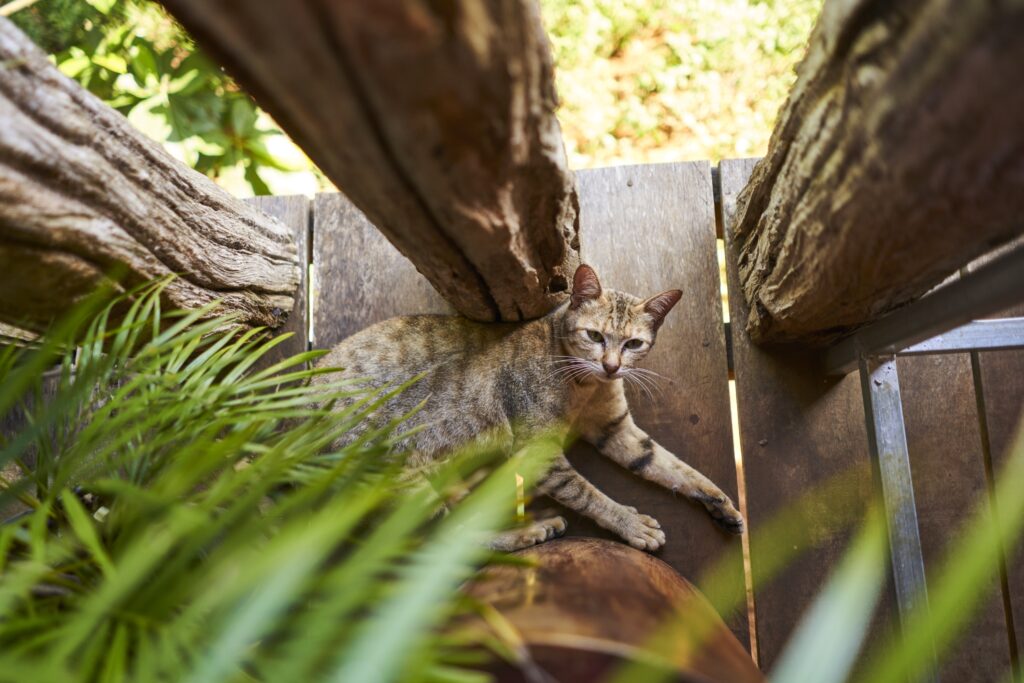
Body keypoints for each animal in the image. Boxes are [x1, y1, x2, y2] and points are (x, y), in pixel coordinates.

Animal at [311, 264, 745, 552]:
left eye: (633, 344)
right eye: (594, 336)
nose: (611, 366)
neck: (585, 387)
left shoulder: (617, 429)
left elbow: (673, 467)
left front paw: (721, 503)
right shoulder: (538, 450)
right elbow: (588, 494)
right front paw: (629, 523)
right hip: (407, 485)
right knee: (446, 540)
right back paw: (525, 532)